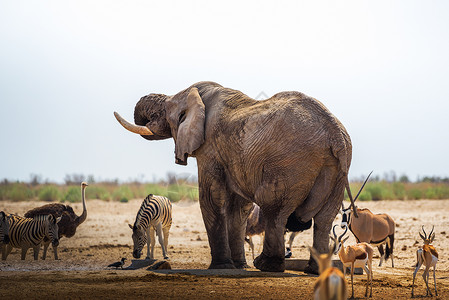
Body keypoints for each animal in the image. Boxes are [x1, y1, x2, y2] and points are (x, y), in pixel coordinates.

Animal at [114, 81, 356, 274]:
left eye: (164, 112)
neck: (197, 95)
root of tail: (335, 133)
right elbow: (238, 207)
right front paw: (238, 266)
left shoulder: (209, 148)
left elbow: (211, 199)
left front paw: (220, 267)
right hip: (338, 170)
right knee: (324, 219)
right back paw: (314, 271)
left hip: (290, 163)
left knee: (274, 209)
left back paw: (265, 266)